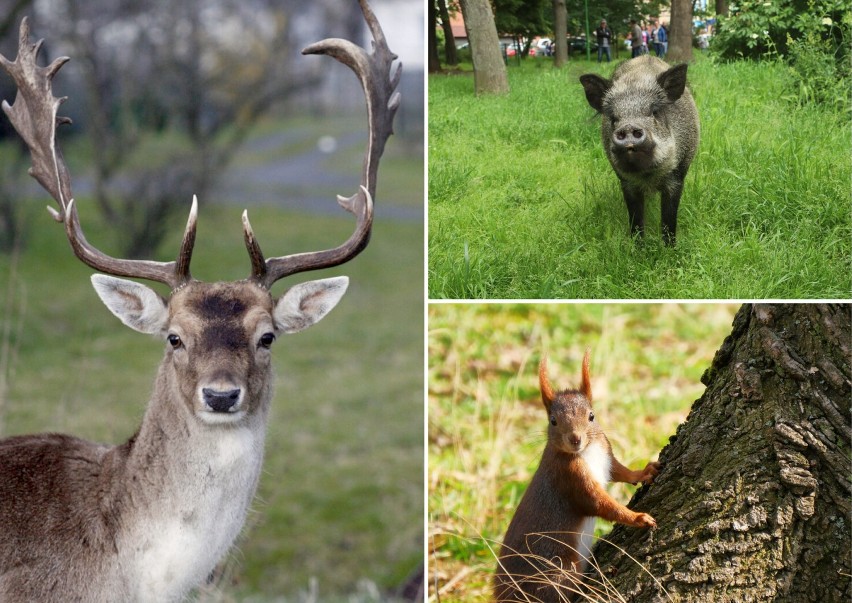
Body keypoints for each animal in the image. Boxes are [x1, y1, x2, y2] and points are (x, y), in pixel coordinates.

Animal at [492, 352, 660, 600]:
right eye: (553, 420)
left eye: (591, 416)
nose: (575, 439)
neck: (586, 452)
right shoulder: (571, 479)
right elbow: (601, 504)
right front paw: (637, 518)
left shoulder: (606, 456)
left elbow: (619, 472)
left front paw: (644, 472)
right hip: (560, 567)